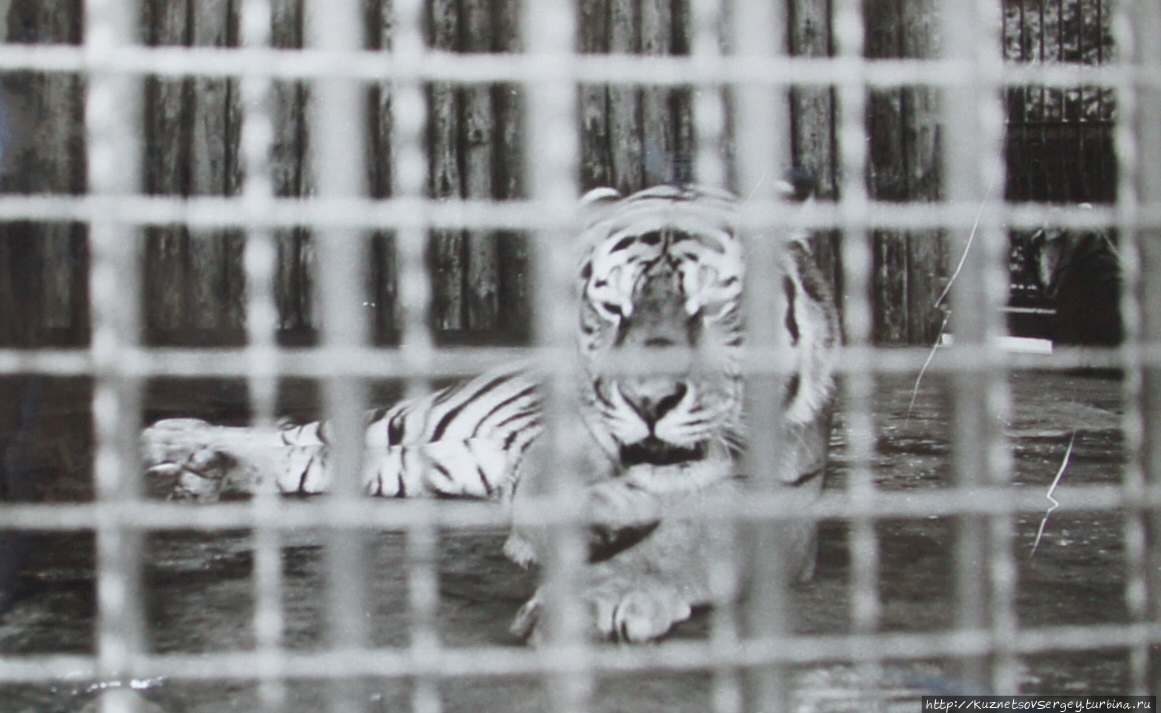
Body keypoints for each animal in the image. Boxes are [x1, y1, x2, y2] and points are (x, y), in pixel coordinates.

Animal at [140, 181, 840, 645]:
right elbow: (549, 499)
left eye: (710, 308)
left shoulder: (778, 508)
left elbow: (682, 544)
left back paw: (207, 466)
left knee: (324, 458)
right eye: (613, 308)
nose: (649, 399)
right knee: (310, 431)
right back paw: (178, 441)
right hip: (419, 417)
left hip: (426, 459)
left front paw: (605, 592)